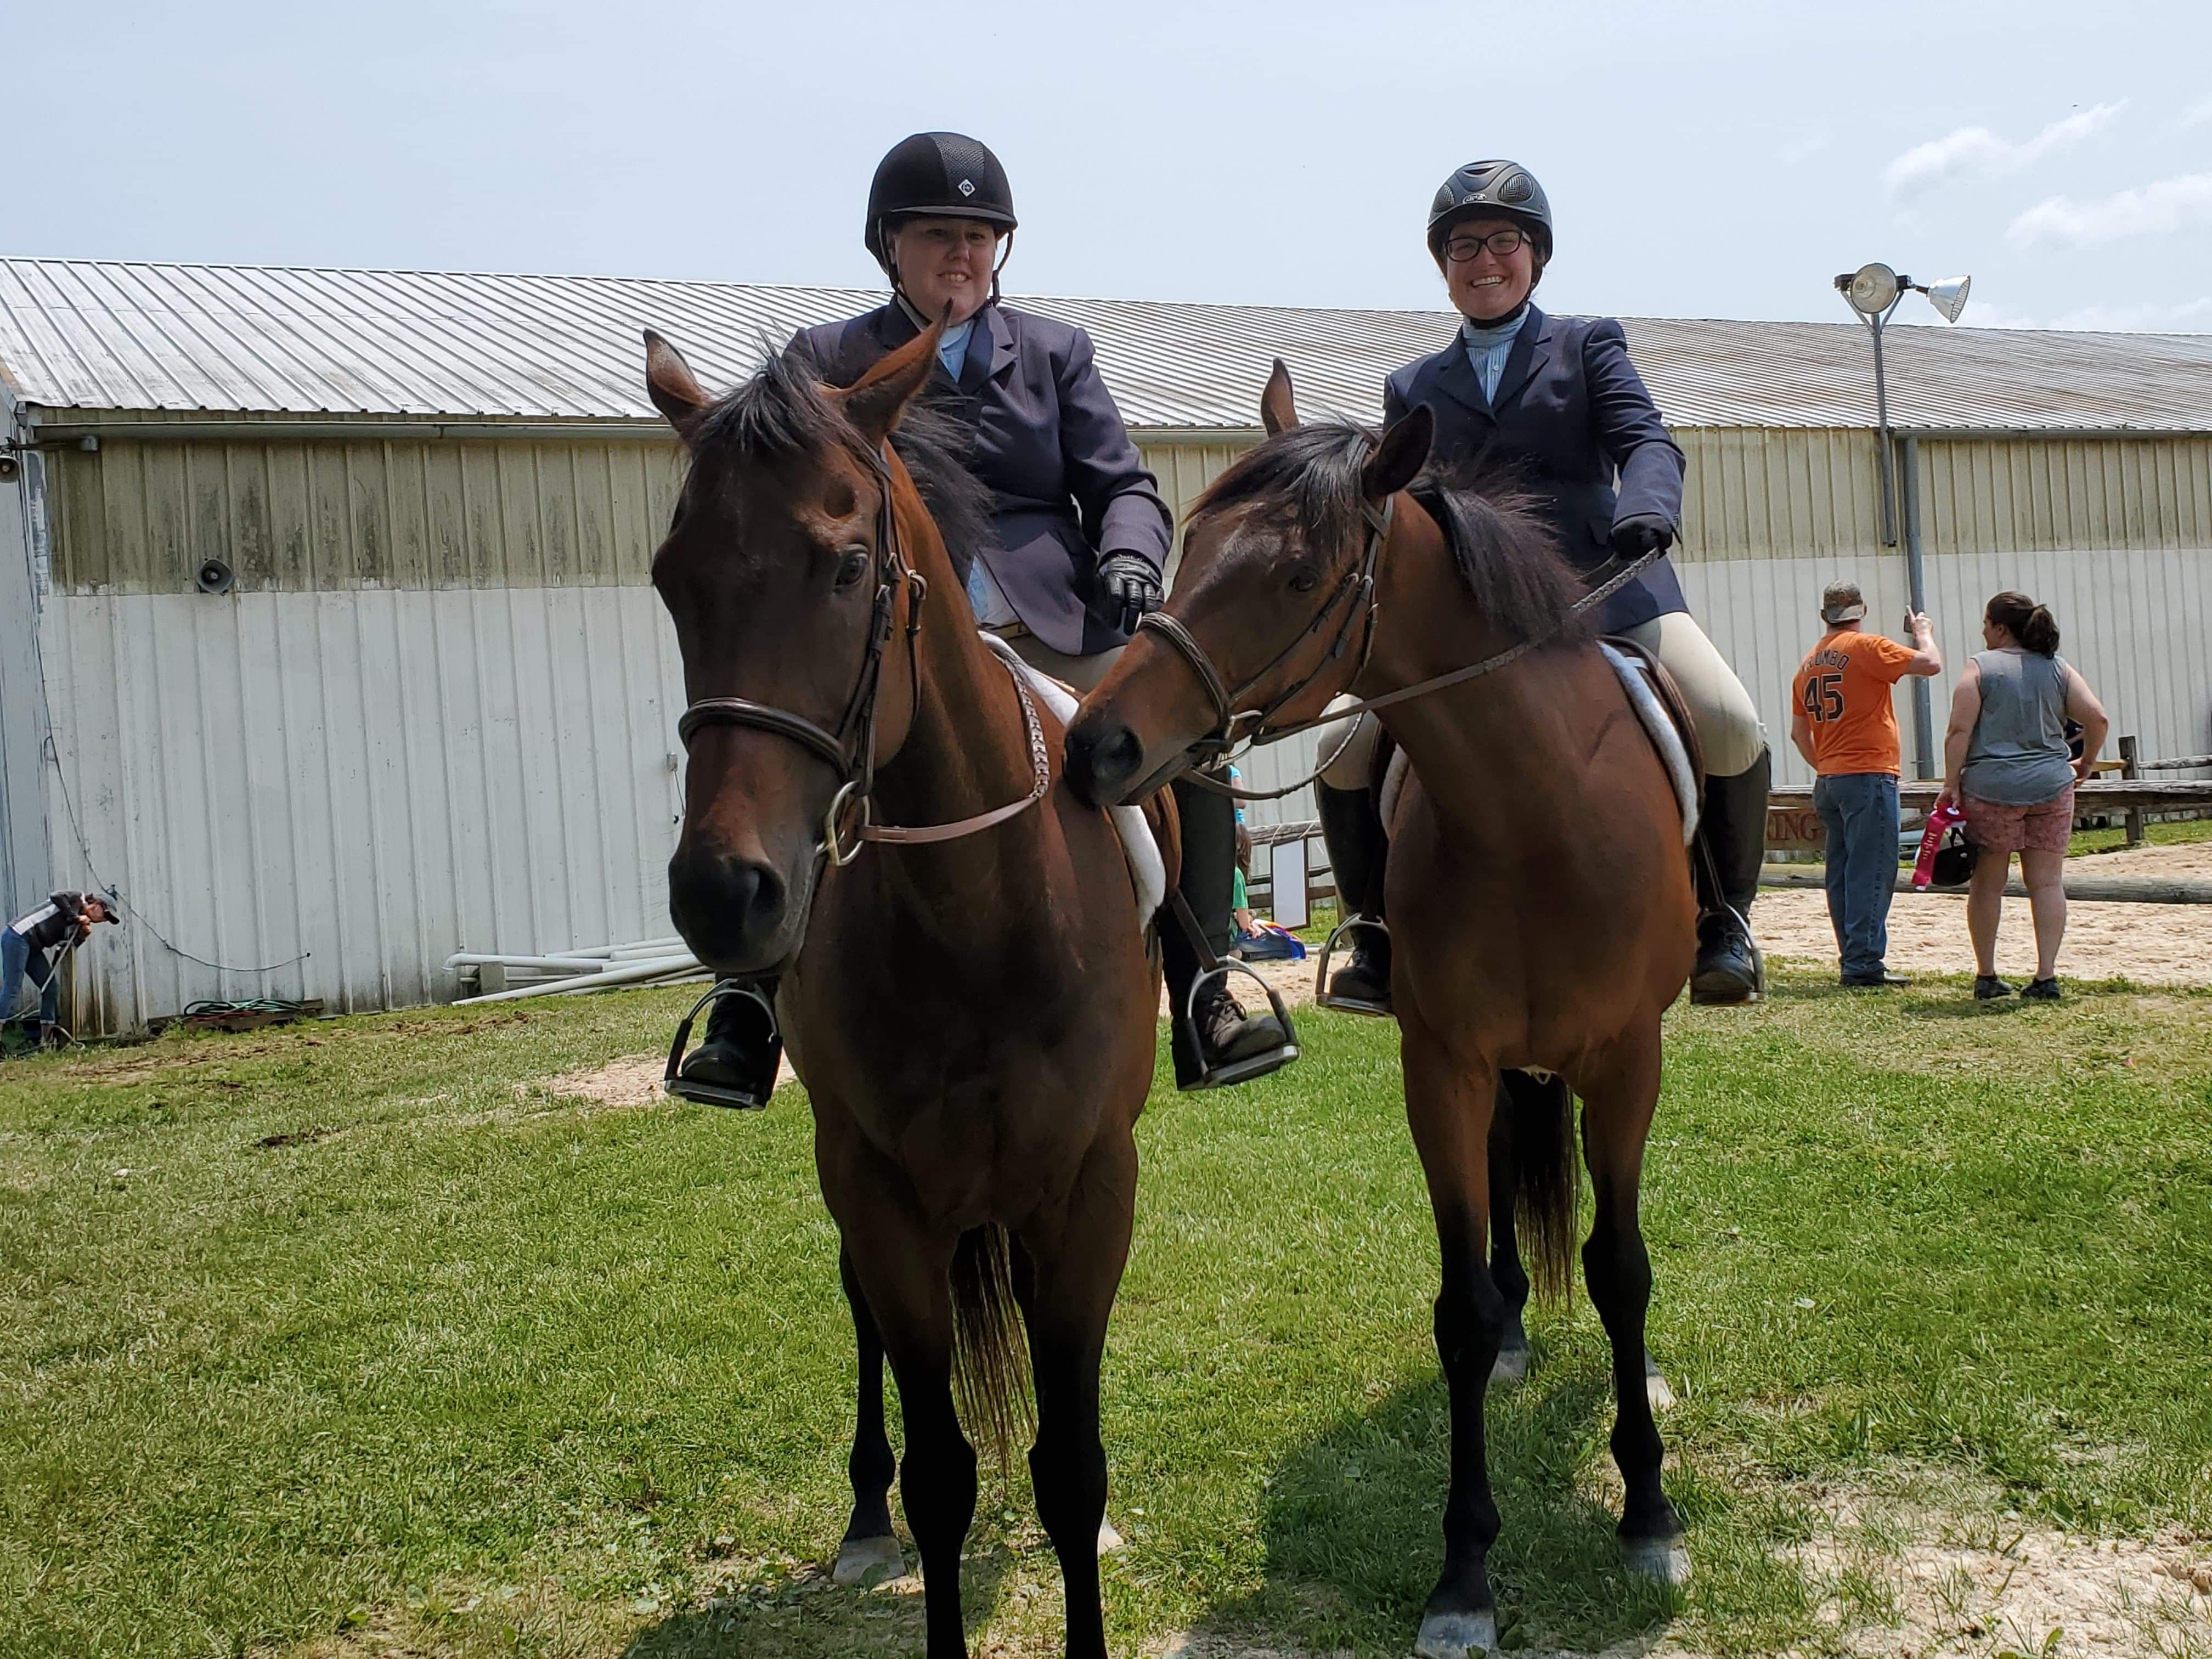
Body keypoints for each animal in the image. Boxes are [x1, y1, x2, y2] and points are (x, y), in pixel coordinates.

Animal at [646, 314, 1167, 1659]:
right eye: (672, 578)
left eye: (843, 568)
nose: (723, 896)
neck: (975, 913)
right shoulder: (876, 1190)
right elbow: (942, 1475)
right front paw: (897, 1514)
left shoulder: (1089, 1185)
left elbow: (1069, 1459)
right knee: (866, 1325)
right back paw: (861, 1517)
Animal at [1070, 374, 1690, 1659]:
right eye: (1188, 544)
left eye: (1298, 575)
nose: (1099, 743)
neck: (1534, 808)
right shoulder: (1442, 1066)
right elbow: (1459, 1305)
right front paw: (1463, 1571)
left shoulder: (1627, 1060)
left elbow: (1621, 1269)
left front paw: (1650, 1510)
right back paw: (1515, 1341)